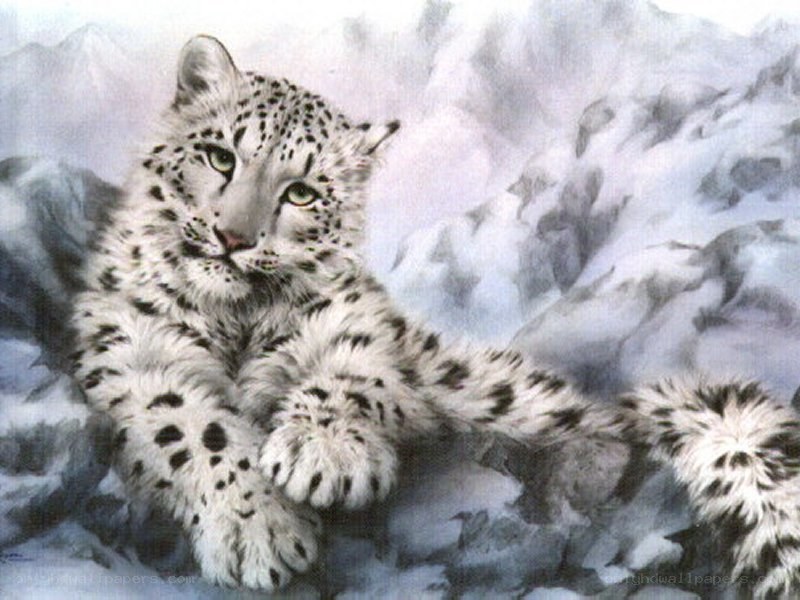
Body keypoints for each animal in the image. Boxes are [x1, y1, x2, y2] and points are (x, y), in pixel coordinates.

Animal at [71, 35, 800, 597]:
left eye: (301, 192)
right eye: (221, 156)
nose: (232, 237)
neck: (240, 319)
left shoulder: (360, 332)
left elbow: (350, 375)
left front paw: (323, 454)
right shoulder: (134, 357)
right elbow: (197, 428)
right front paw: (260, 531)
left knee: (595, 423)